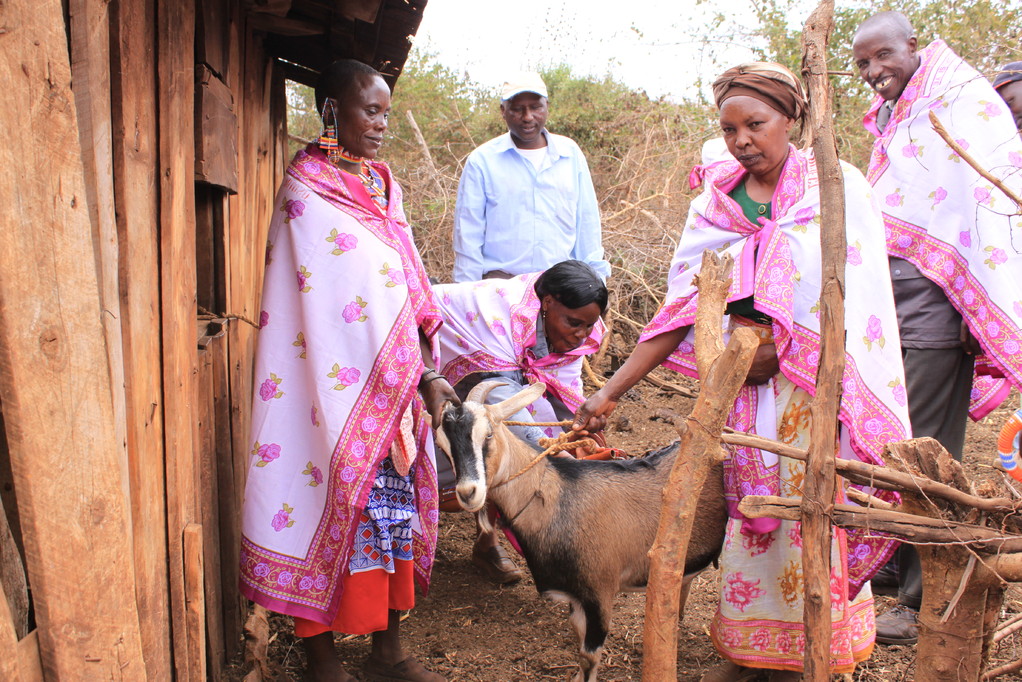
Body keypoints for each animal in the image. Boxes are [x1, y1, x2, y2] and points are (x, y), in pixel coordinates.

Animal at [435, 382, 731, 678]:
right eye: (442, 446)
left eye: (488, 434)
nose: (468, 493)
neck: (560, 498)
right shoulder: (576, 597)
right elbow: (578, 640)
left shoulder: (600, 593)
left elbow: (589, 656)